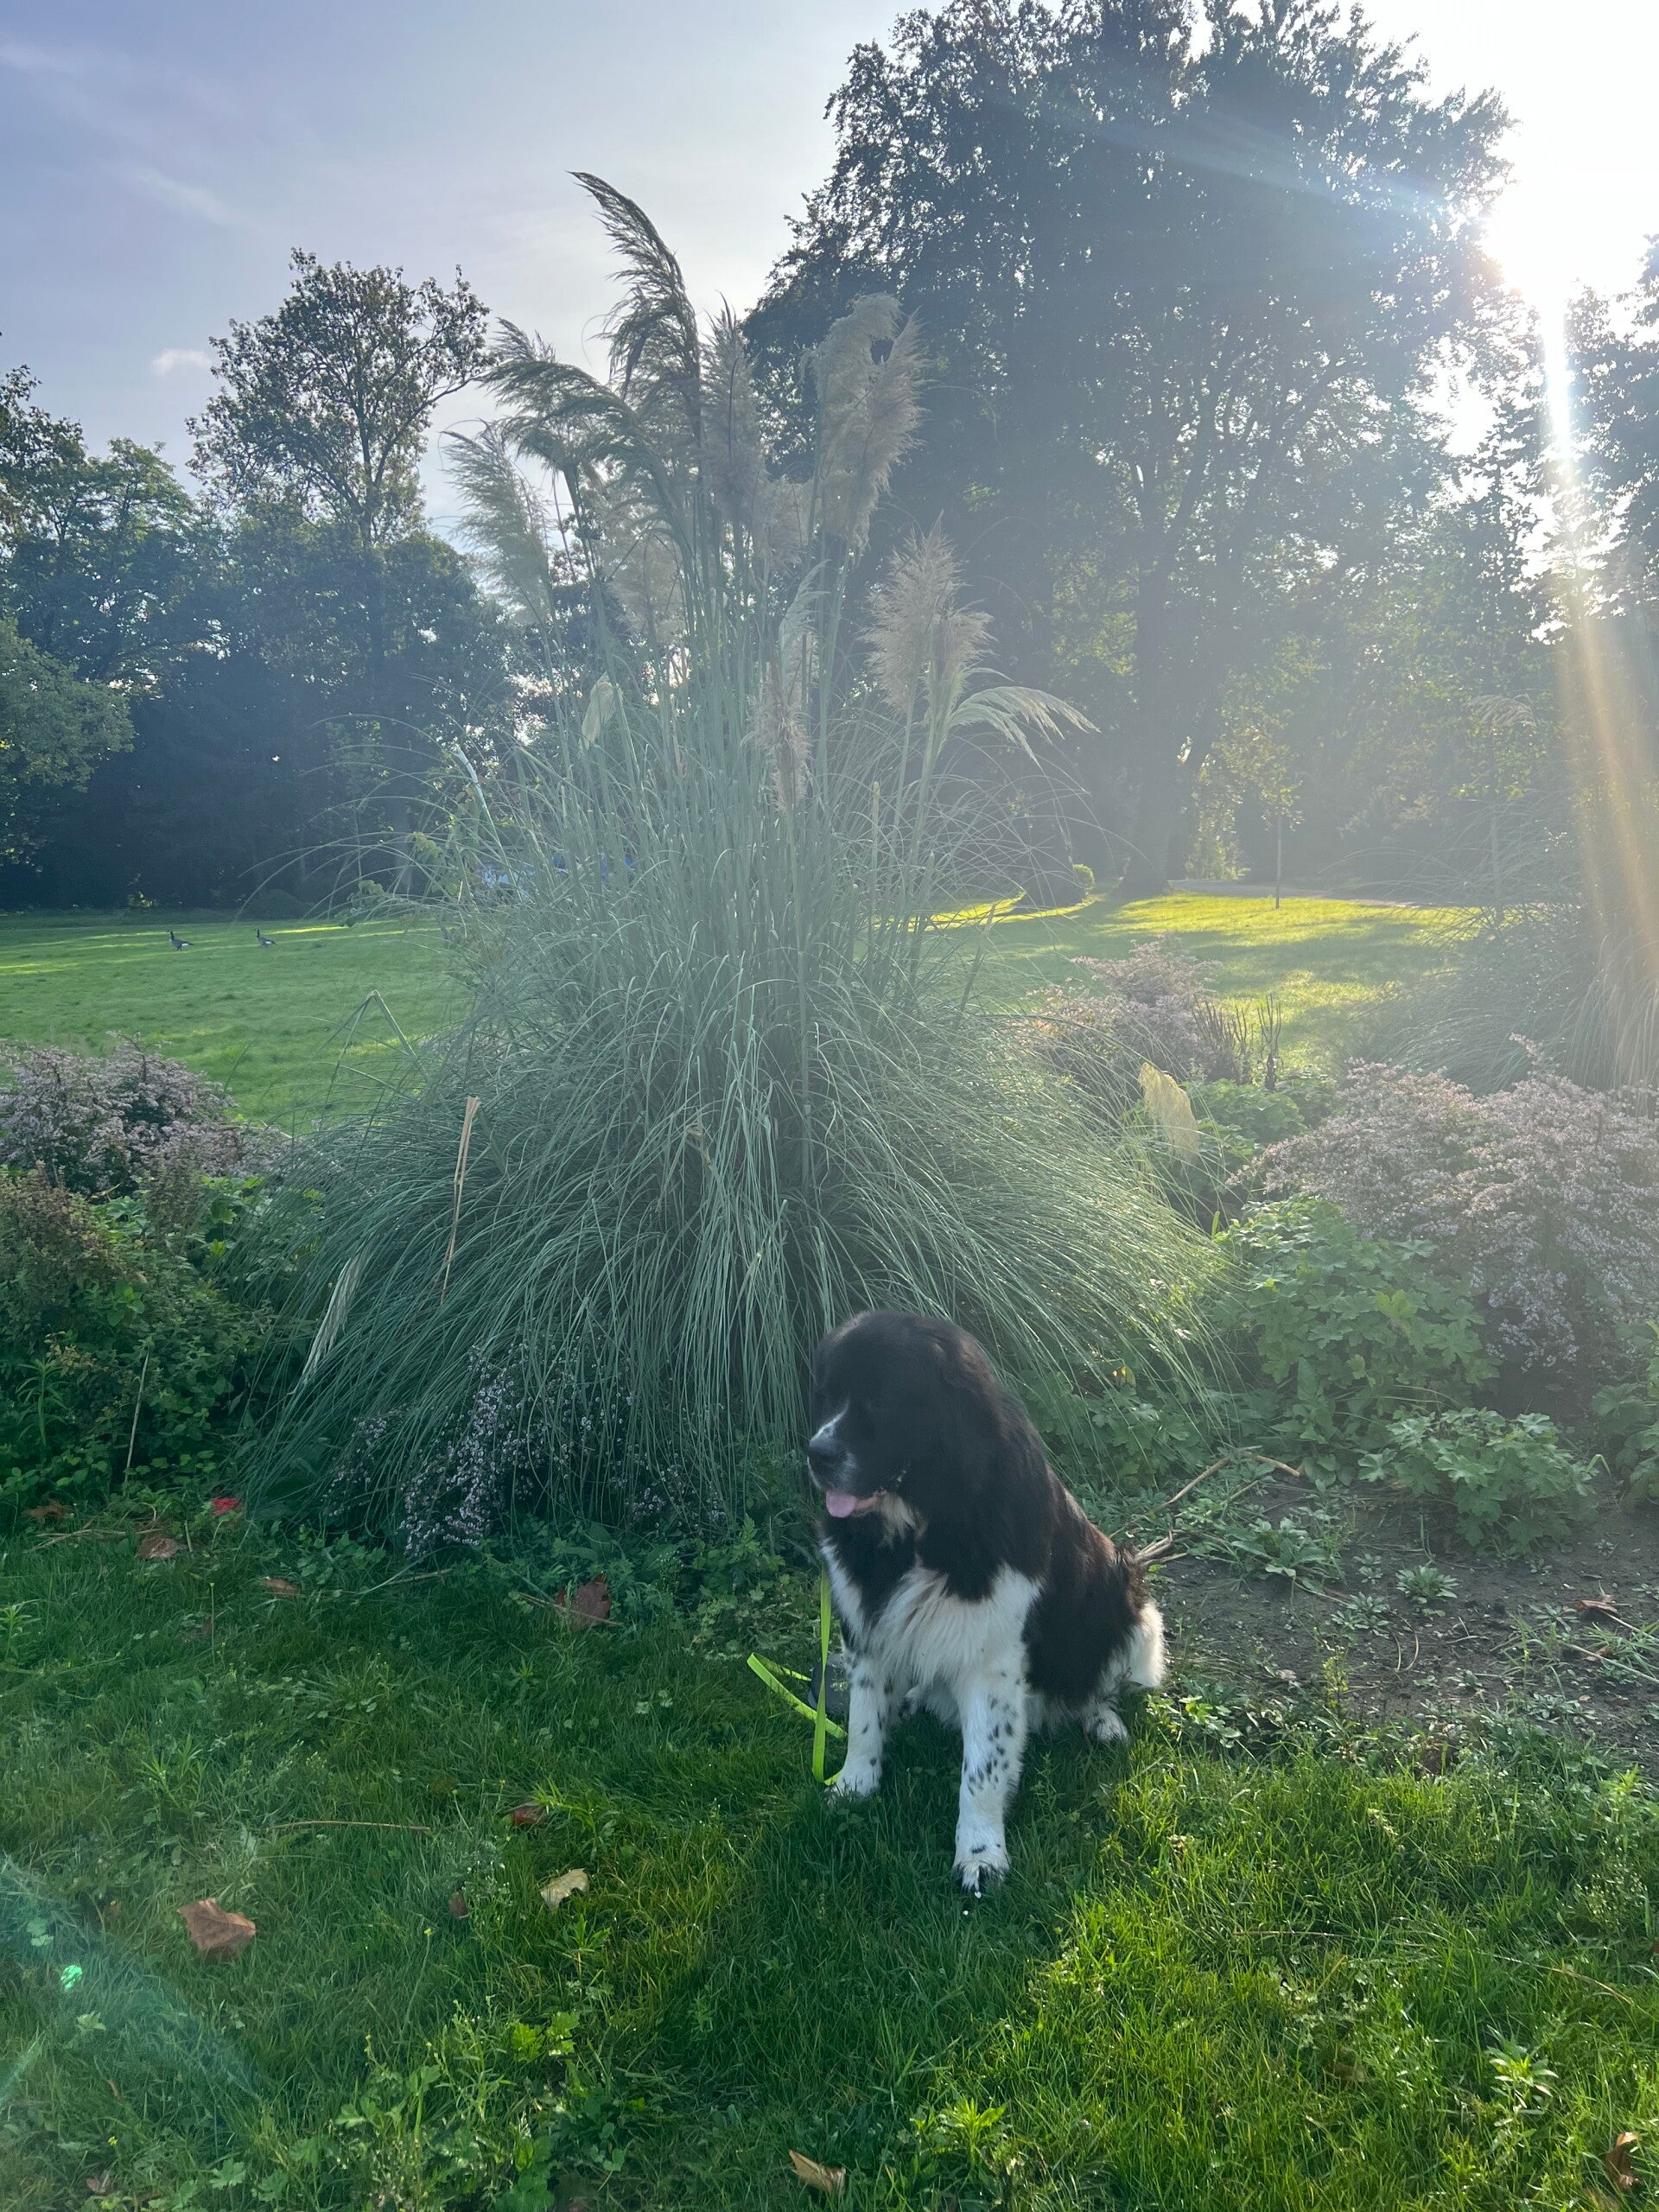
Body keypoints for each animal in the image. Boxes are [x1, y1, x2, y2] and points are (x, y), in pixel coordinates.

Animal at [808, 1309, 1165, 1892]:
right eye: (825, 1397)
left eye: (880, 1402)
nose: (816, 1454)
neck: (920, 1527)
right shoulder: (866, 1627)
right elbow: (862, 1720)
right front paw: (853, 1788)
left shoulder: (991, 1659)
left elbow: (982, 1770)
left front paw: (980, 1854)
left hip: (1125, 1597)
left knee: (1098, 1681)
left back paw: (1102, 1721)